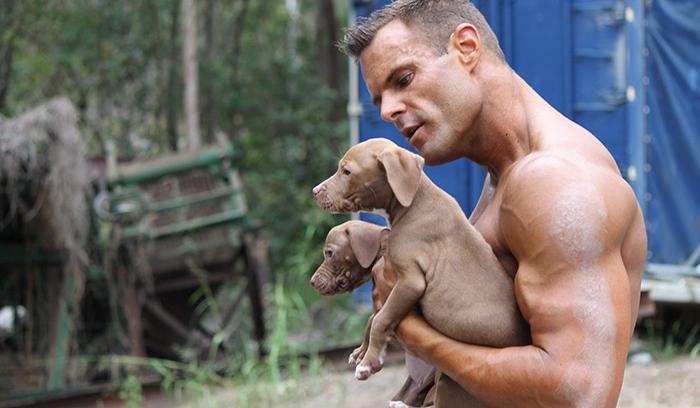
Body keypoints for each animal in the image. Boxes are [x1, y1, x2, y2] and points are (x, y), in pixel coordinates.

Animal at [314, 138, 532, 382]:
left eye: (347, 171)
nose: (314, 191)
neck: (413, 202)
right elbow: (374, 317)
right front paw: (362, 352)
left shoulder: (410, 282)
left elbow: (380, 319)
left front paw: (368, 362)